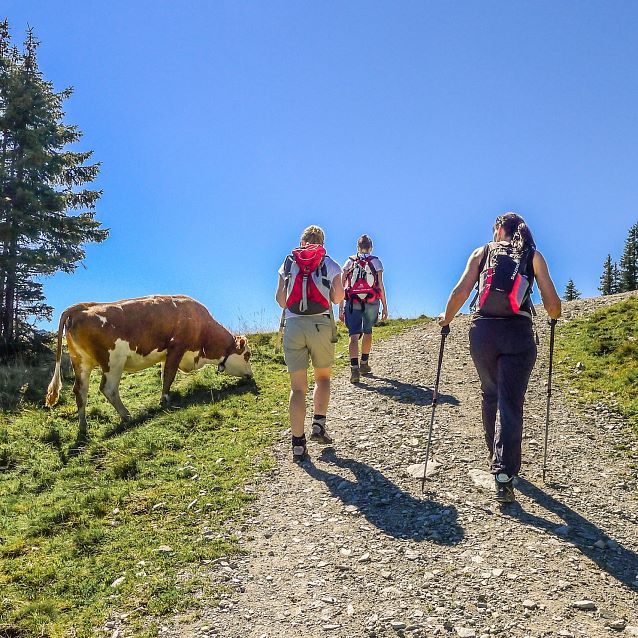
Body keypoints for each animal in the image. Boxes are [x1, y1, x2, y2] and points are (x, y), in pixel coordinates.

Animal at [45, 296, 252, 438]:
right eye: (248, 355)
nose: (251, 375)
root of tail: (80, 307)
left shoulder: (167, 355)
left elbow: (164, 375)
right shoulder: (177, 348)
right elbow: (169, 375)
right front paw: (165, 399)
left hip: (81, 362)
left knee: (80, 391)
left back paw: (83, 426)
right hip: (113, 361)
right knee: (108, 388)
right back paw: (127, 415)